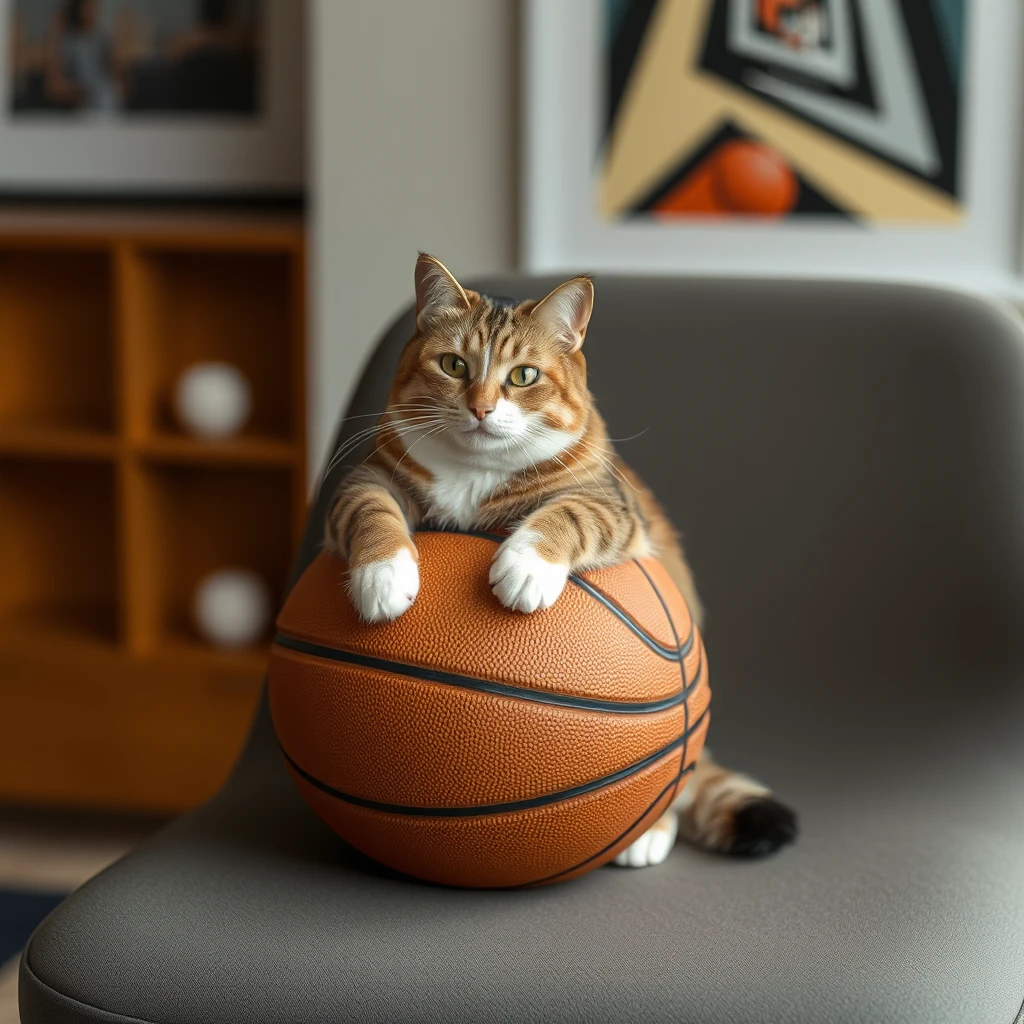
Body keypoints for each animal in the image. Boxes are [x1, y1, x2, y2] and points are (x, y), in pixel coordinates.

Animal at [323, 256, 794, 864]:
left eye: (523, 376)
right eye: (453, 365)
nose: (480, 407)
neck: (473, 476)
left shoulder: (610, 503)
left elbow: (567, 513)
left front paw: (525, 568)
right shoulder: (369, 477)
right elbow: (371, 509)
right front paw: (382, 576)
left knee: (683, 772)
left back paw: (648, 834)